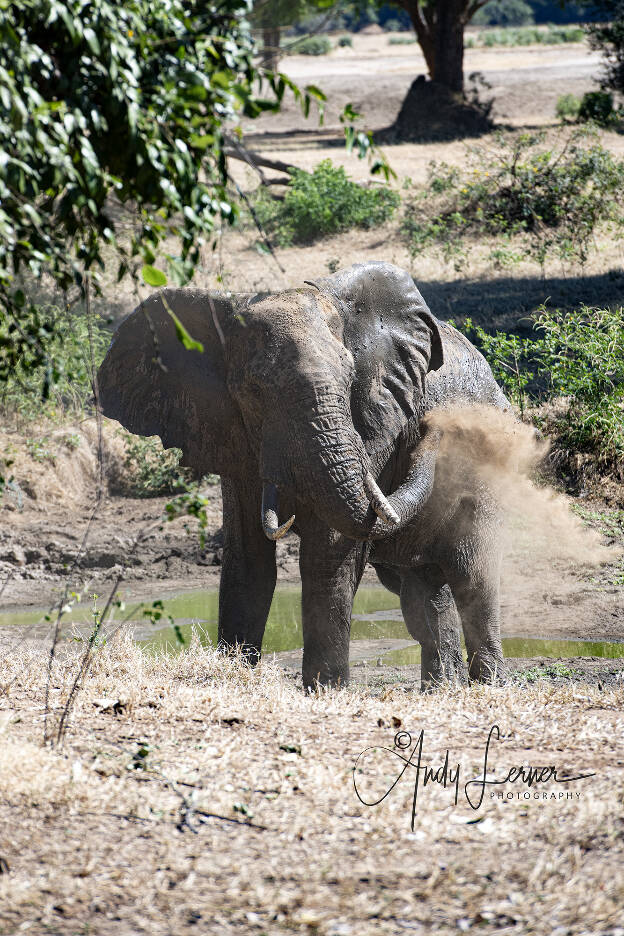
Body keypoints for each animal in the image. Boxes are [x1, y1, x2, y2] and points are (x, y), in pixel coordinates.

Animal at [97, 261, 511, 689]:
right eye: (253, 391)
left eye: (350, 379)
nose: (433, 426)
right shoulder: (236, 437)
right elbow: (246, 557)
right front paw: (235, 672)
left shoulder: (375, 422)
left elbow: (329, 551)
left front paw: (326, 689)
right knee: (419, 589)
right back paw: (443, 686)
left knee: (472, 576)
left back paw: (489, 684)